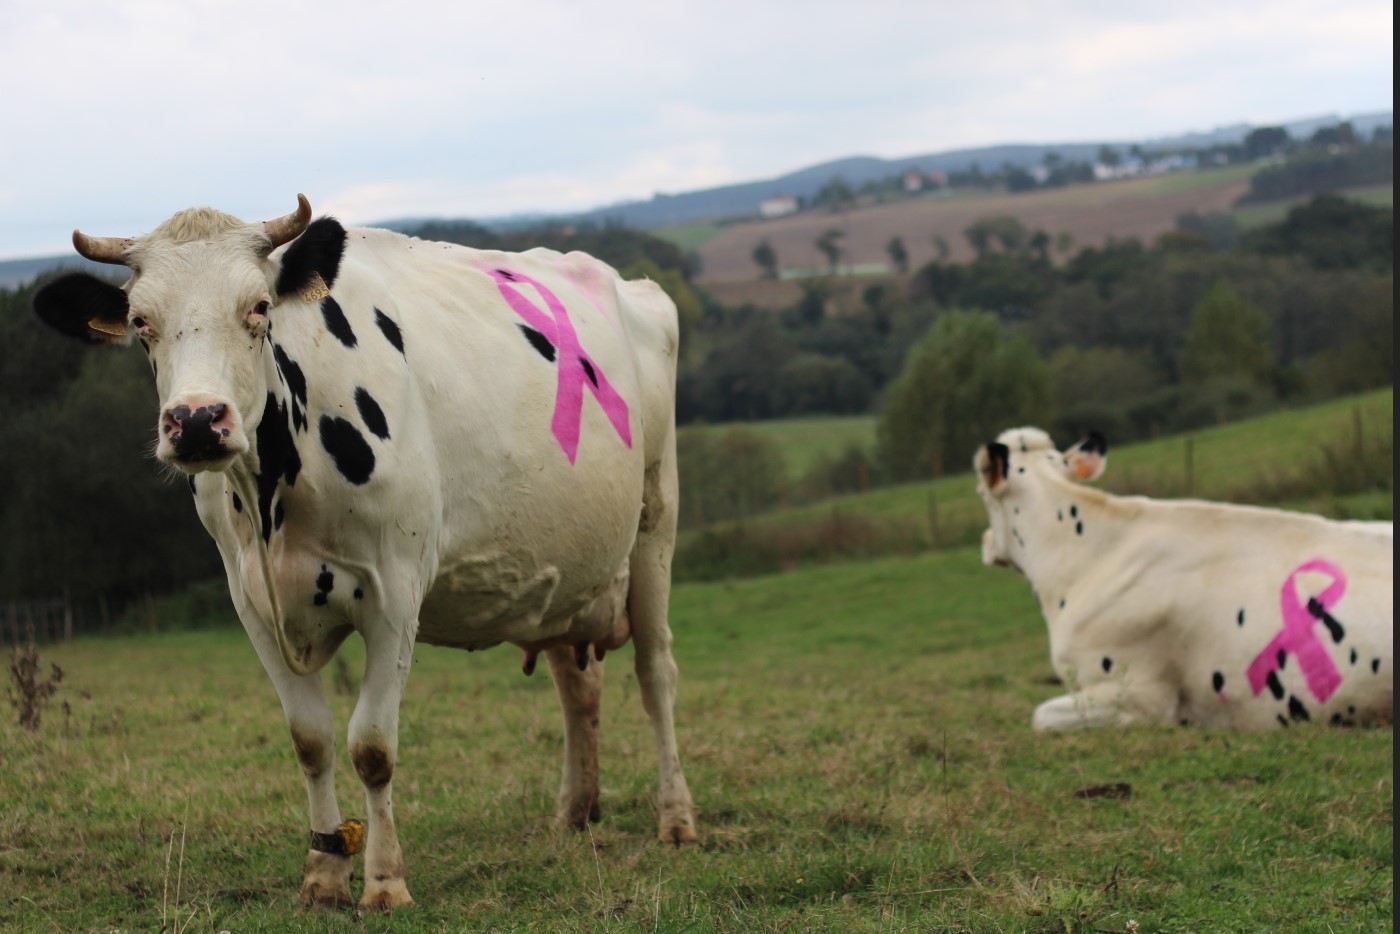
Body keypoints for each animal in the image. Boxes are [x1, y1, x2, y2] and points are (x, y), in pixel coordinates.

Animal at [30, 195, 698, 908]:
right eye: (140, 322)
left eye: (259, 307)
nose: (196, 421)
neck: (274, 503)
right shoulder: (252, 603)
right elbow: (312, 742)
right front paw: (324, 874)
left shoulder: (394, 593)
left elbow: (372, 747)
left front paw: (384, 880)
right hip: (566, 575)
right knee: (578, 685)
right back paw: (575, 812)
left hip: (656, 522)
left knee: (657, 673)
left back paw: (676, 818)